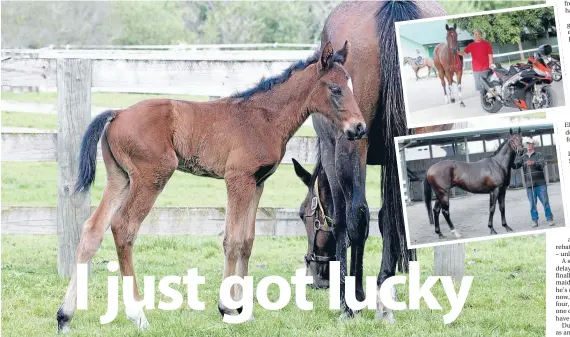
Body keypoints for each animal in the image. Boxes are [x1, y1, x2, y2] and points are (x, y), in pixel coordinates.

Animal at [54, 41, 364, 330]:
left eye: (351, 85)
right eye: (335, 88)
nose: (359, 128)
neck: (264, 117)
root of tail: (117, 113)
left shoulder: (257, 183)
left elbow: (247, 241)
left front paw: (243, 310)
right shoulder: (238, 179)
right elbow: (232, 240)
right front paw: (227, 308)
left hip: (120, 178)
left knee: (93, 229)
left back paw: (65, 316)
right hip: (150, 176)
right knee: (123, 226)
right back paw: (138, 315)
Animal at [310, 0, 444, 320]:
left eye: (302, 216)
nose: (316, 278)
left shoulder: (331, 152)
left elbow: (345, 220)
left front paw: (352, 295)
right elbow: (388, 217)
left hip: (351, 146)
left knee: (357, 215)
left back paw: (351, 304)